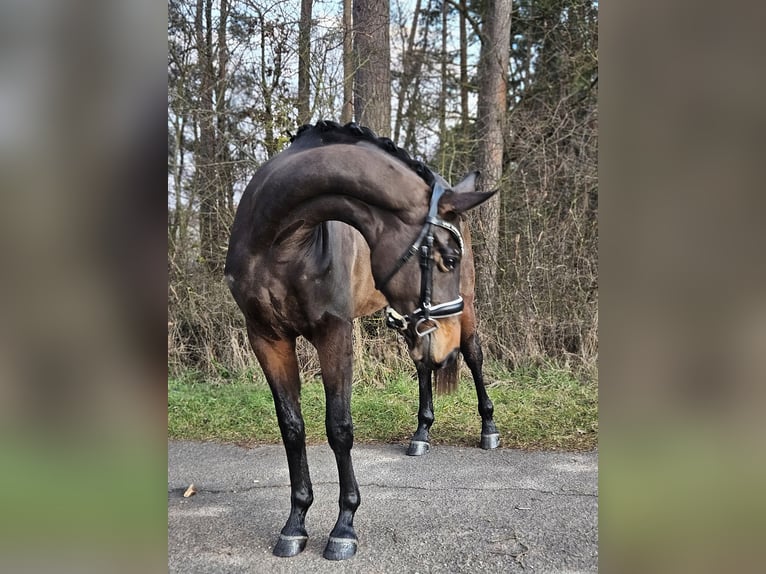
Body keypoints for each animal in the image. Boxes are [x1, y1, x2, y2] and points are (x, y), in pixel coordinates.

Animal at [225, 121, 500, 564]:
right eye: (447, 258)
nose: (446, 347)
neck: (280, 243)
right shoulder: (266, 338)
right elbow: (292, 427)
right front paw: (295, 524)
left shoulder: (334, 333)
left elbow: (339, 428)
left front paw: (343, 527)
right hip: (410, 321)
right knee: (423, 367)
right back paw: (421, 434)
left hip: (466, 310)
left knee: (474, 357)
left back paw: (488, 429)